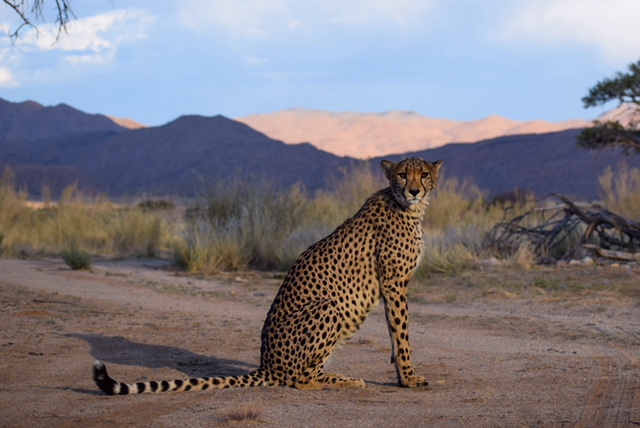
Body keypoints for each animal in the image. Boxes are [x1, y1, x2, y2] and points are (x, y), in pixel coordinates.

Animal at [94, 158, 440, 394]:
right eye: (401, 174)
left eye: (424, 174)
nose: (414, 190)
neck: (407, 207)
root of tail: (266, 365)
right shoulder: (394, 283)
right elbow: (402, 334)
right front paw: (410, 379)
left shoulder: (392, 285)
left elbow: (395, 334)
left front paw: (403, 377)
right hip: (328, 308)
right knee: (298, 380)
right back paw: (341, 381)